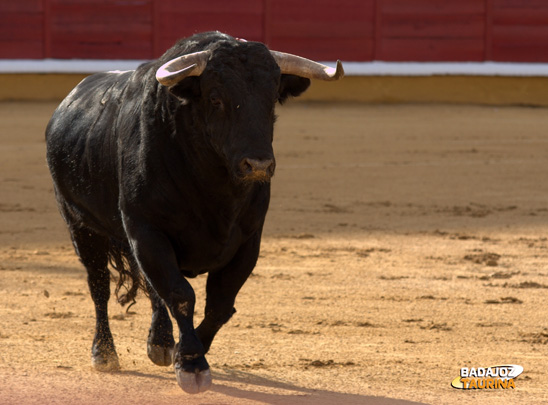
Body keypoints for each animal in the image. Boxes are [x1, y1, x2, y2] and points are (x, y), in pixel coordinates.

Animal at [45, 30, 342, 392]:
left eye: (272, 98)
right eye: (215, 98)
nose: (258, 165)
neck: (213, 186)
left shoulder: (249, 241)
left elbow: (219, 304)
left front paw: (185, 351)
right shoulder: (146, 230)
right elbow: (180, 294)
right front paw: (191, 363)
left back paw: (159, 343)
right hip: (80, 226)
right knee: (98, 284)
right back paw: (104, 352)